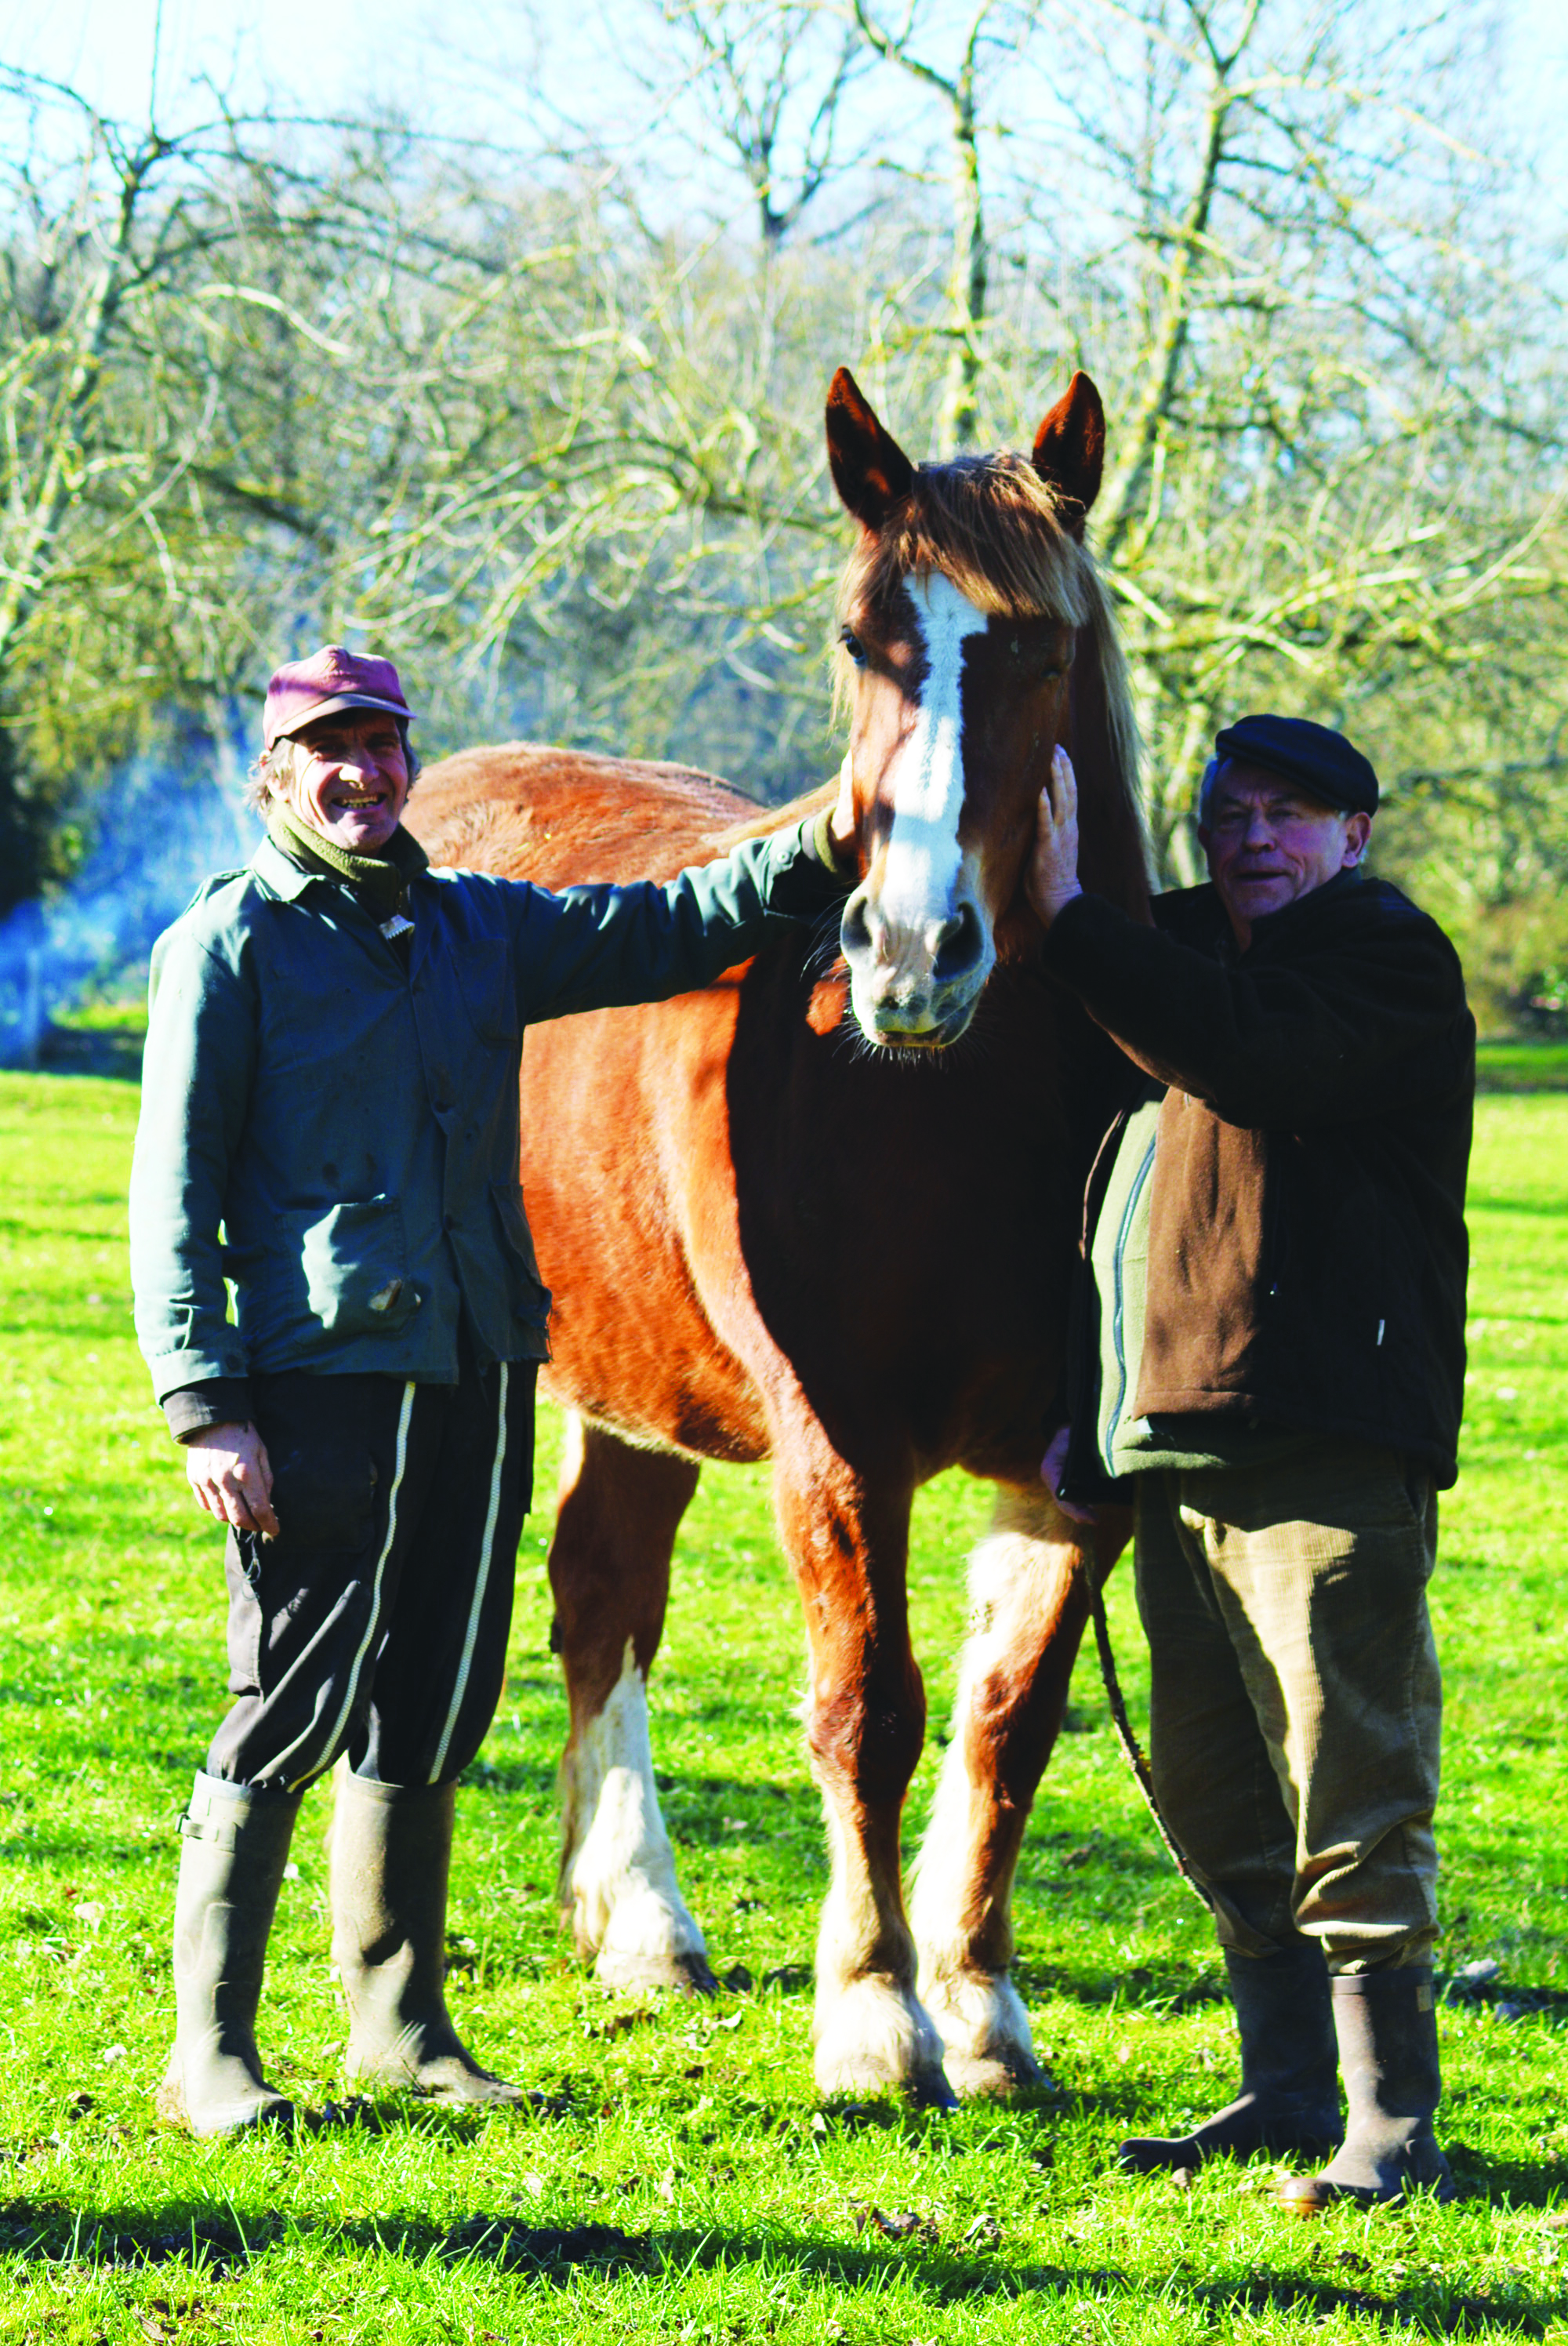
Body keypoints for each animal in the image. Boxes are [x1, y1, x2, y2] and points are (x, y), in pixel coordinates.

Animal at [403, 370, 1145, 2111]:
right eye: (858, 637)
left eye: (1042, 647)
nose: (911, 949)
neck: (947, 1110)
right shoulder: (838, 1444)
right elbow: (868, 1710)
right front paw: (876, 2014)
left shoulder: (1071, 1468)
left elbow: (1009, 1719)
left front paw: (981, 2002)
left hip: (632, 1386)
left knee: (601, 1587)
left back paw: (639, 1921)